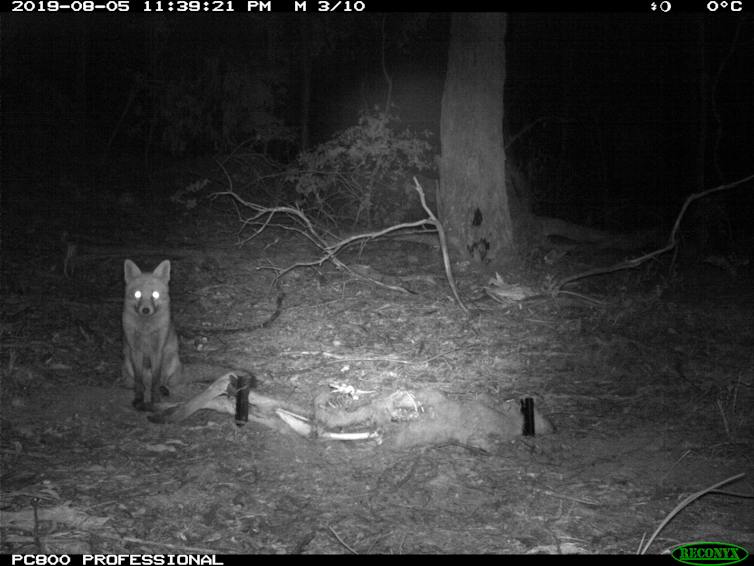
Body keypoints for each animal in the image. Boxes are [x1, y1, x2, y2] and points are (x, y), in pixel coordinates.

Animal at [122, 259, 182, 412]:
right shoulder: (135, 350)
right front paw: (138, 399)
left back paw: (163, 389)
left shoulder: (157, 350)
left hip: (170, 359)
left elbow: (156, 378)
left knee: (163, 380)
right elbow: (138, 380)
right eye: (137, 294)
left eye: (155, 294)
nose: (145, 310)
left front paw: (155, 400)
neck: (146, 331)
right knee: (141, 382)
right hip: (128, 362)